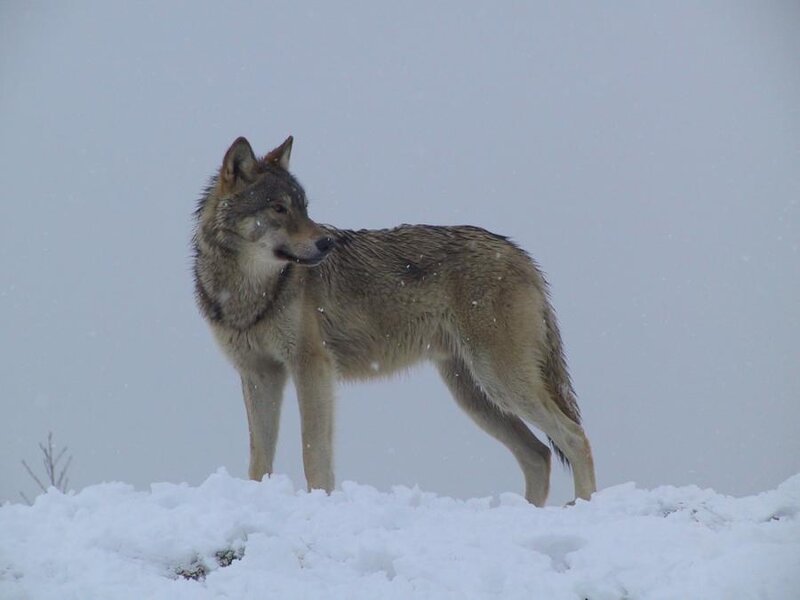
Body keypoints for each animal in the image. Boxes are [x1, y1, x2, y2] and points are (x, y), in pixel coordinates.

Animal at [193, 136, 597, 506]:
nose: (326, 244)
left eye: (304, 209)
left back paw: (584, 503)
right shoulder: (259, 374)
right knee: (538, 455)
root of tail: (521, 255)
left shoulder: (312, 367)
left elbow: (313, 452)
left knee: (575, 437)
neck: (250, 294)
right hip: (475, 395)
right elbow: (259, 459)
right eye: (278, 208)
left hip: (500, 382)